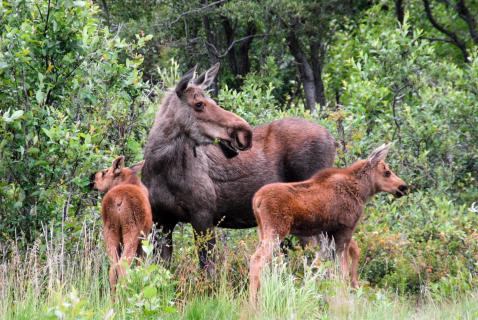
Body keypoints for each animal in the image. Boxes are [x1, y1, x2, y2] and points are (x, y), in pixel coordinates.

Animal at [91, 156, 153, 294]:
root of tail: (118, 201)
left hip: (110, 230)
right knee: (123, 267)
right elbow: (140, 266)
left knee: (113, 268)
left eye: (105, 172)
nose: (93, 177)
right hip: (132, 230)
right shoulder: (144, 238)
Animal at [142, 63, 336, 268]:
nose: (245, 132)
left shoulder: (202, 214)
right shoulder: (161, 220)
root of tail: (333, 140)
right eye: (199, 104)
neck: (160, 168)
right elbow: (163, 267)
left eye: (211, 100)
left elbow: (207, 267)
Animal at [248, 143, 408, 302]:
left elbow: (349, 255)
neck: (362, 192)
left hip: (262, 231)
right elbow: (343, 269)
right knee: (256, 259)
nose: (403, 187)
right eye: (387, 172)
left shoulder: (330, 231)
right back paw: (254, 302)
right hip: (276, 230)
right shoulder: (346, 228)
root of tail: (256, 200)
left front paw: (354, 283)